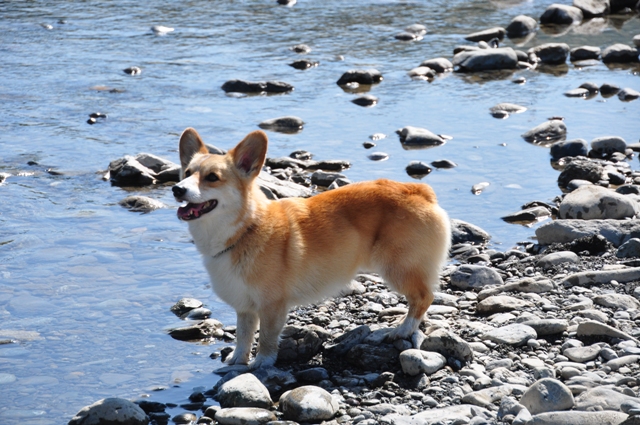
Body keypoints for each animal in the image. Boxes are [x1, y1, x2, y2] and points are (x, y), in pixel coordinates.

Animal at [171, 128, 450, 368]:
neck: (244, 230)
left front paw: (261, 364)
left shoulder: (272, 306)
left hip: (398, 268)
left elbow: (267, 338)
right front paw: (237, 362)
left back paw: (402, 329)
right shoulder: (246, 307)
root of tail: (419, 190)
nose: (177, 189)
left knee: (423, 298)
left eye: (212, 178)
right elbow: (243, 336)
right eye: (187, 173)